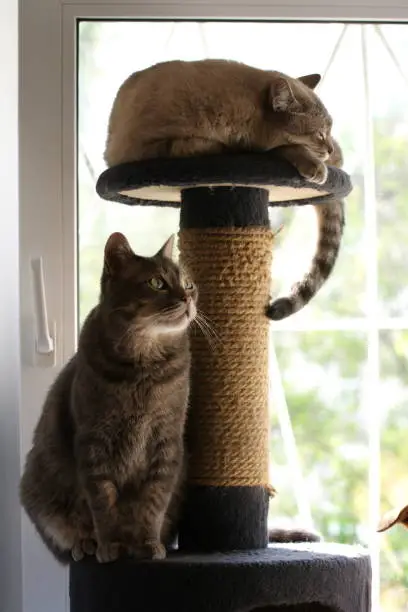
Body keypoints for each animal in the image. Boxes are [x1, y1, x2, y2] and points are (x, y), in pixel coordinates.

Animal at [19, 232, 197, 560]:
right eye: (157, 282)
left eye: (189, 283)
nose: (187, 298)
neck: (144, 365)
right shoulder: (93, 441)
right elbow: (103, 501)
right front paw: (109, 545)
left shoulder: (167, 440)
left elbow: (154, 502)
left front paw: (149, 543)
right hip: (38, 489)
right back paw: (85, 544)